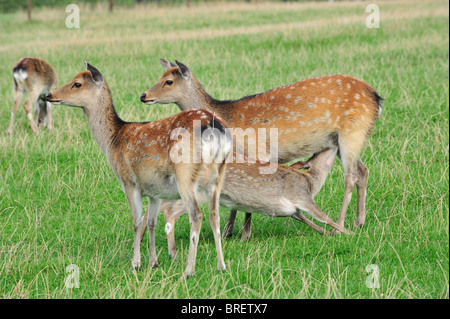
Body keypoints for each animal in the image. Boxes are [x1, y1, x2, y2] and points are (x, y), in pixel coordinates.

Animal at [44, 60, 232, 280]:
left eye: (77, 84)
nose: (49, 95)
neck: (112, 141)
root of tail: (215, 128)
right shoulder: (154, 191)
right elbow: (151, 223)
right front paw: (153, 262)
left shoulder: (129, 181)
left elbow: (136, 221)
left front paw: (136, 264)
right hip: (218, 175)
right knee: (214, 214)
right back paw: (221, 266)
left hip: (185, 175)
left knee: (196, 215)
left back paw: (188, 271)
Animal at [139, 59, 382, 235]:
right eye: (160, 76)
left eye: (169, 82)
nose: (143, 95)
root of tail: (377, 99)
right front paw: (229, 232)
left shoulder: (257, 152)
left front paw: (241, 233)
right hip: (341, 140)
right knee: (363, 171)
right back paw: (359, 221)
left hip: (352, 132)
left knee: (350, 176)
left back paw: (341, 224)